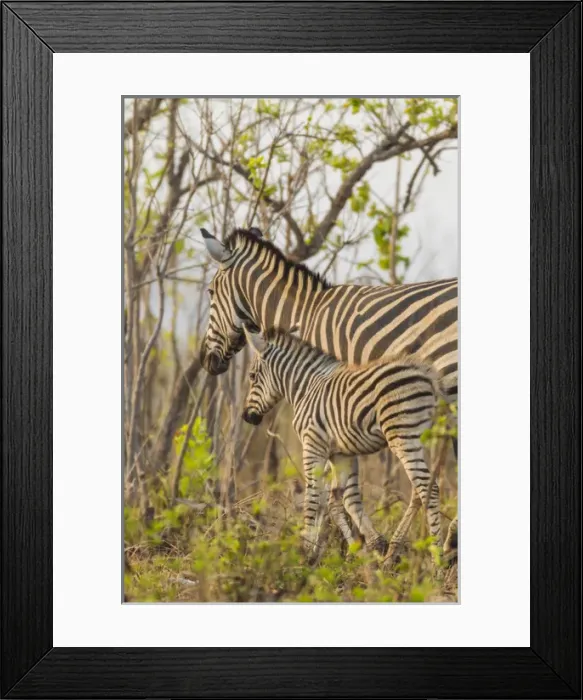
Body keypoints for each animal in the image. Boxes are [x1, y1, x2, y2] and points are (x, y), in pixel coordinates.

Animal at [241, 327, 444, 563]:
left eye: (252, 376)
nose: (247, 417)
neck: (305, 389)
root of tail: (426, 373)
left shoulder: (312, 445)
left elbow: (313, 498)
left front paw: (305, 551)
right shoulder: (340, 454)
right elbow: (337, 501)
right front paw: (358, 550)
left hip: (403, 436)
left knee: (427, 486)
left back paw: (438, 557)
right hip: (419, 439)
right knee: (420, 489)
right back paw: (394, 550)